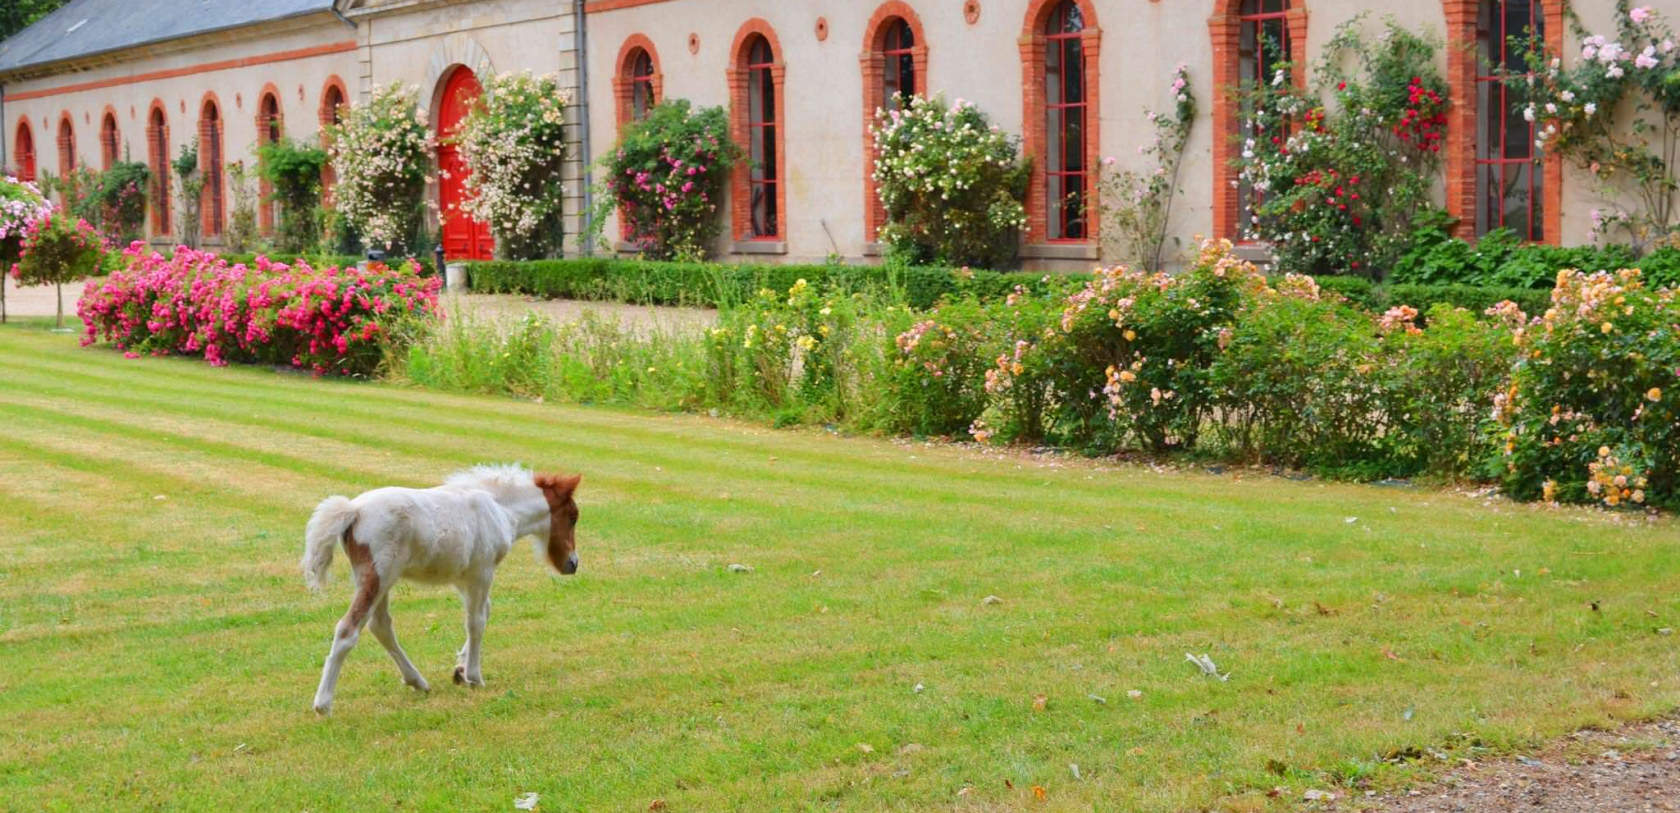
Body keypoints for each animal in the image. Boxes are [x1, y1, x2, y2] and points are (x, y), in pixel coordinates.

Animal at [302, 466, 584, 715]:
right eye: (573, 517)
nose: (572, 564)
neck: (499, 508)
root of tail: (353, 510)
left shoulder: (465, 579)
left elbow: (484, 613)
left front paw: (460, 669)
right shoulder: (482, 572)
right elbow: (476, 622)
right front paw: (474, 676)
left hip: (380, 581)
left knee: (380, 626)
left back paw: (417, 681)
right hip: (378, 578)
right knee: (348, 629)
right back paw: (323, 704)